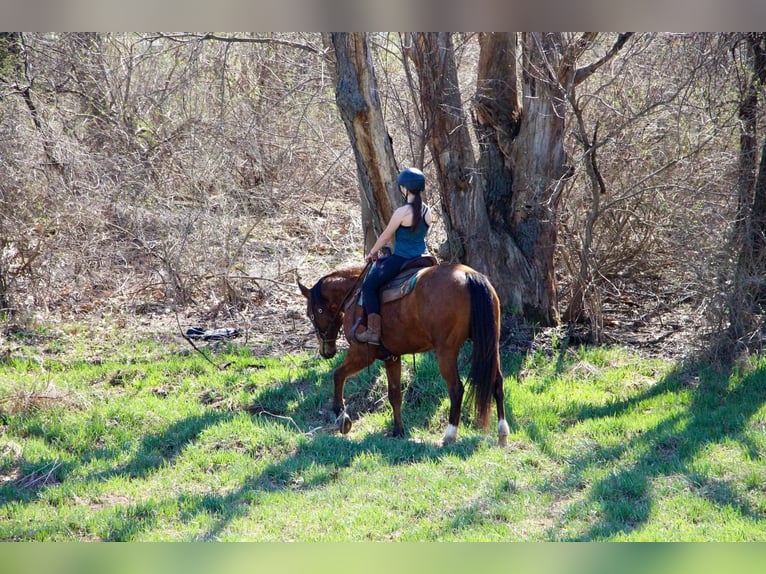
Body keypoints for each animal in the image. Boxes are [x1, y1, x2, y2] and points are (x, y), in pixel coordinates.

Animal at [300, 264, 510, 448]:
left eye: (311, 314)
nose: (326, 352)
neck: (354, 294)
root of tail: (469, 276)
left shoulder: (360, 354)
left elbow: (338, 375)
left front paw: (342, 417)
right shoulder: (391, 357)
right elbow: (394, 394)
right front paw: (398, 430)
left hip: (446, 351)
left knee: (456, 389)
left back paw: (449, 435)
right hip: (490, 345)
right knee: (497, 383)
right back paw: (502, 433)